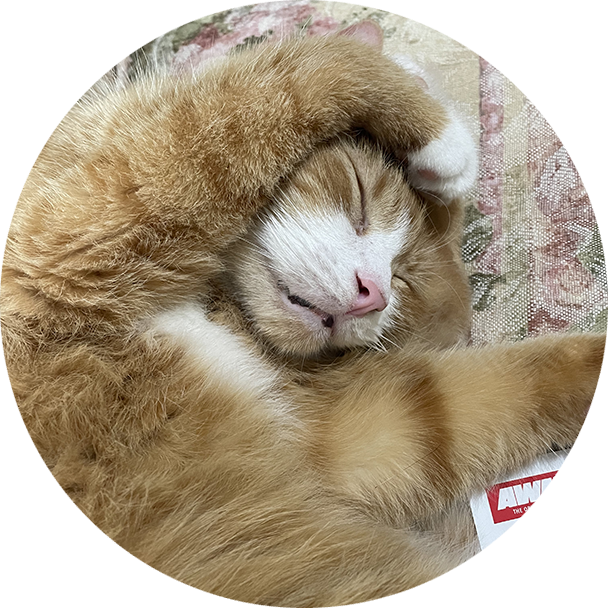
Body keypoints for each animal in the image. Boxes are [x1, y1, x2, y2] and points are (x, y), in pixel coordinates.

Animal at [2, 20, 604, 608]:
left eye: (402, 280)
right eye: (359, 197)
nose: (372, 295)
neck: (212, 308)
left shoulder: (345, 437)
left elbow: (488, 393)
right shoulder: (73, 235)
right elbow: (298, 72)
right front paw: (439, 132)